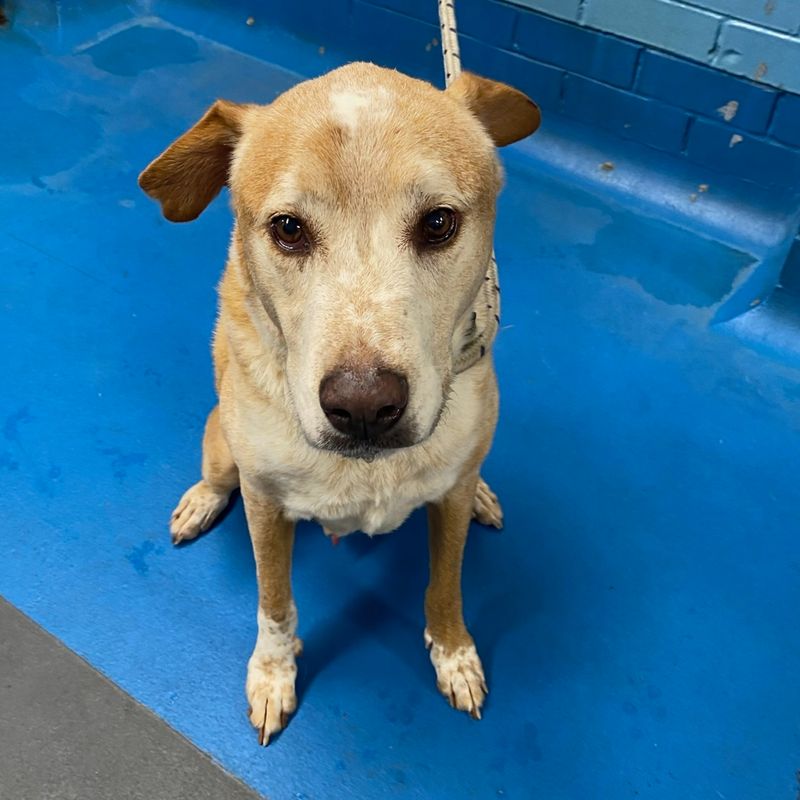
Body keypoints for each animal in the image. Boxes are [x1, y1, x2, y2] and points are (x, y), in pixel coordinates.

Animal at [139, 62, 539, 744]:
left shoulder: (448, 503)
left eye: (438, 223)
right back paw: (200, 501)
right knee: (218, 476)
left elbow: (446, 583)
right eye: (288, 229)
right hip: (223, 445)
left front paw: (454, 654)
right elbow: (275, 603)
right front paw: (273, 675)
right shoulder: (266, 507)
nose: (364, 407)